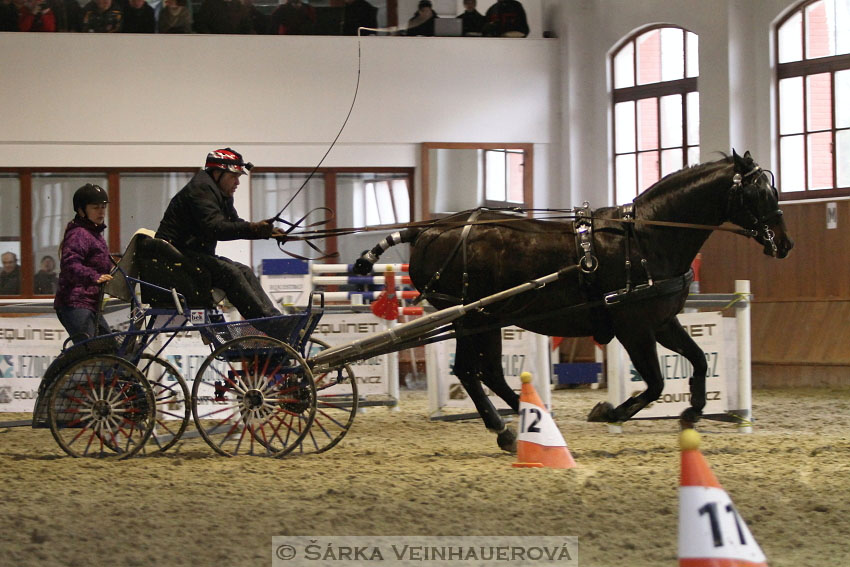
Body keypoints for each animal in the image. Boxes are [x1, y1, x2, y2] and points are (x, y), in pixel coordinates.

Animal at [350, 152, 788, 452]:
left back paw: (528, 418)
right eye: (758, 192)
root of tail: (431, 230)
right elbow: (656, 383)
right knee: (471, 372)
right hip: (469, 316)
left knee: (487, 372)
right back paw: (507, 429)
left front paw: (693, 410)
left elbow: (697, 360)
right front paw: (610, 412)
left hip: (486, 319)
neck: (645, 238)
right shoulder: (634, 327)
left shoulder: (662, 321)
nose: (785, 244)